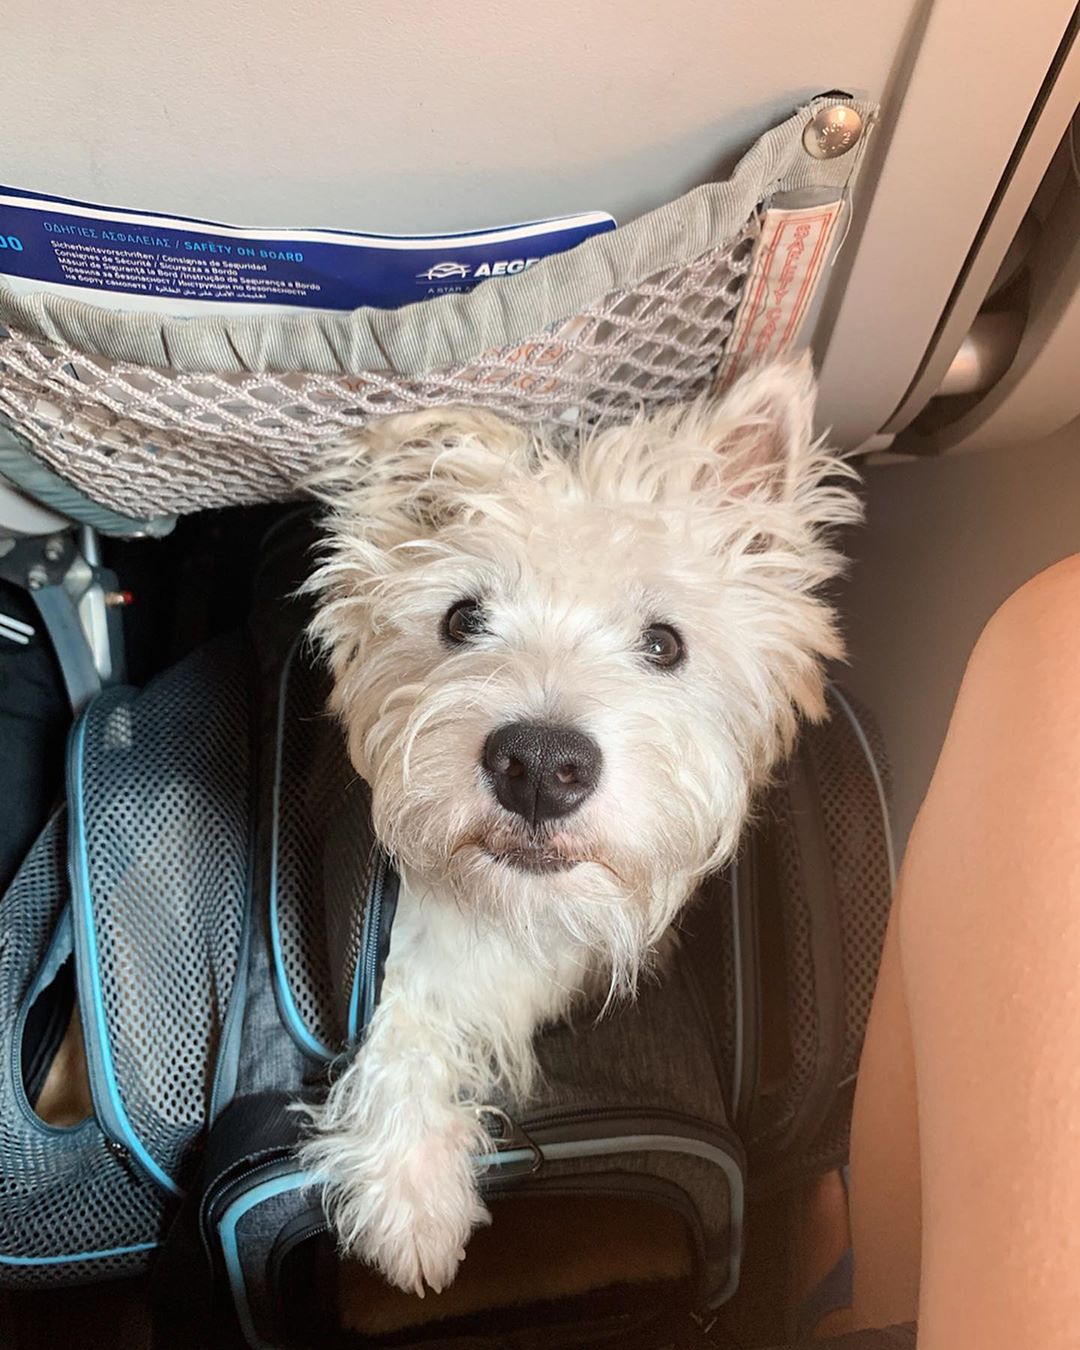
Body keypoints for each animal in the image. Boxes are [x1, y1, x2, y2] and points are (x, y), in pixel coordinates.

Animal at [299, 359, 858, 1296]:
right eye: (462, 618)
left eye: (664, 643)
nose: (537, 764)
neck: (530, 912)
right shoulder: (409, 961)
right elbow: (404, 1027)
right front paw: (412, 1197)